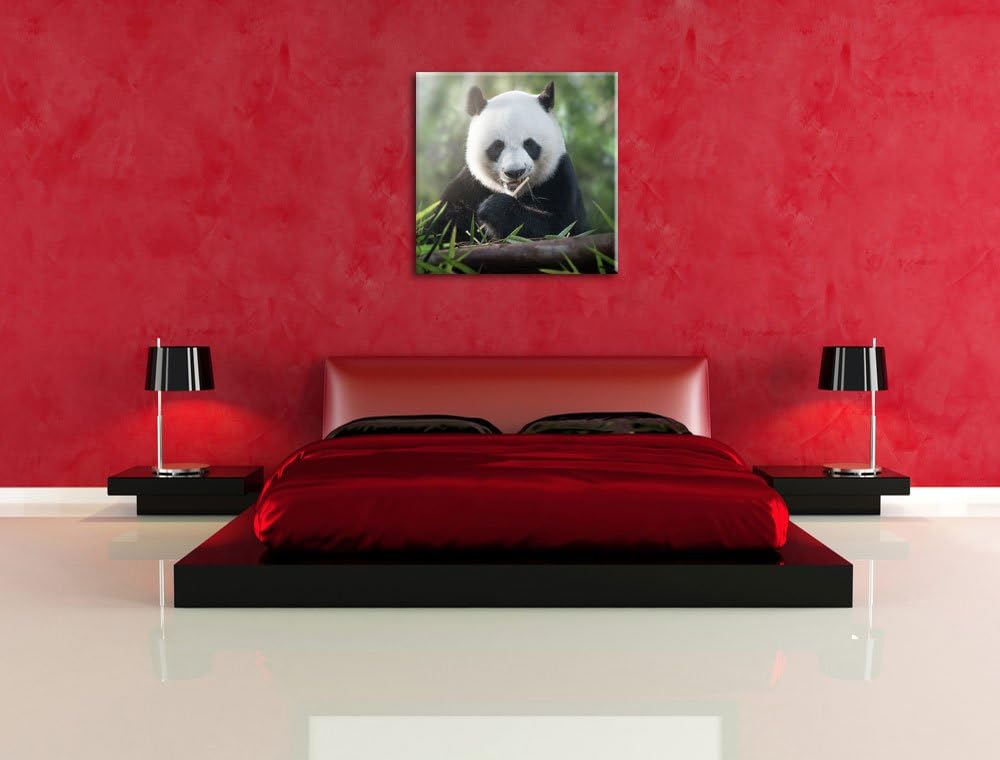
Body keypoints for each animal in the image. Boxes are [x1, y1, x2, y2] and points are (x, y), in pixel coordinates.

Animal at [434, 81, 587, 241]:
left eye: (529, 144)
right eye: (498, 145)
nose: (515, 172)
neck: (516, 193)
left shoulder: (559, 177)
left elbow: (562, 228)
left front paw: (494, 209)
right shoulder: (470, 186)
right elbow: (443, 224)